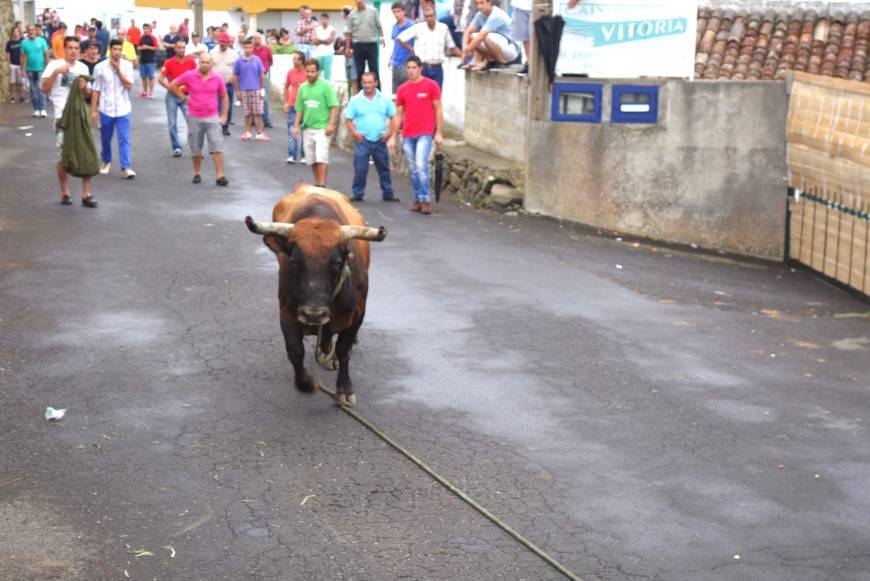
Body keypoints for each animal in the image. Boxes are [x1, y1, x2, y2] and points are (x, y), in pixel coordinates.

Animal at [250, 185, 390, 404]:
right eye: (294, 261)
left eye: (336, 262)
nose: (313, 314)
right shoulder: (286, 311)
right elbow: (295, 350)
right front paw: (306, 383)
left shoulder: (358, 312)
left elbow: (344, 349)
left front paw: (344, 389)